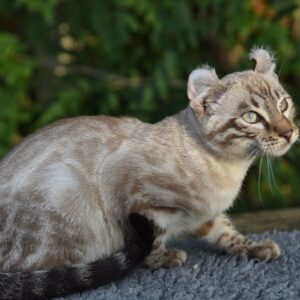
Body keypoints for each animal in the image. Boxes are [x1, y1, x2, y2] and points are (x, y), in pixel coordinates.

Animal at [0, 47, 298, 298]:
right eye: (252, 117)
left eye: (283, 105)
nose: (289, 133)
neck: (229, 169)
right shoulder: (137, 202)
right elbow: (153, 239)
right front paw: (164, 259)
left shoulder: (203, 213)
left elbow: (225, 231)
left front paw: (254, 248)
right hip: (66, 187)